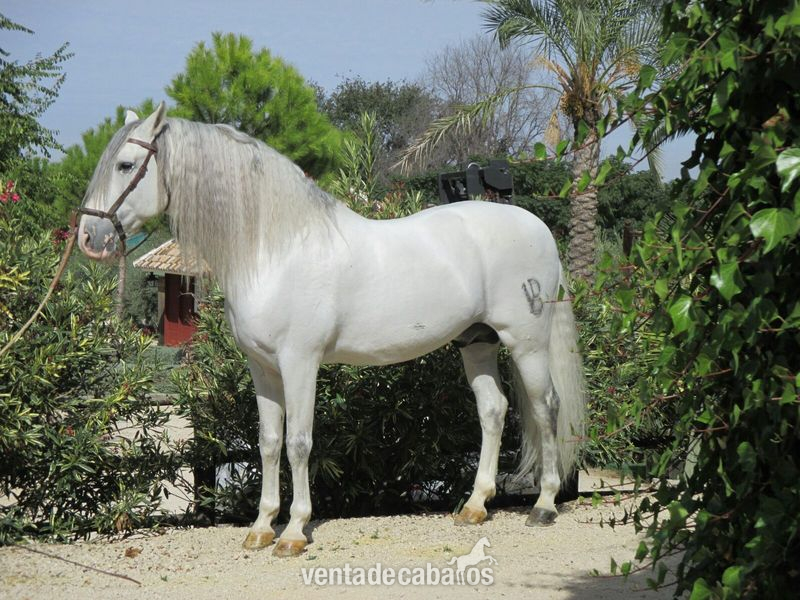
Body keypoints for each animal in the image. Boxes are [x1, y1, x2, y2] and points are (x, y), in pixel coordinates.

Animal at [77, 102, 586, 557]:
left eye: (126, 165)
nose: (87, 237)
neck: (274, 249)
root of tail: (537, 226)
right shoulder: (262, 368)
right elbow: (268, 443)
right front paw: (261, 528)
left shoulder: (300, 362)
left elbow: (299, 444)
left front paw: (294, 532)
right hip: (476, 343)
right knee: (493, 411)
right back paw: (476, 506)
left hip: (526, 343)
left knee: (546, 407)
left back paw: (543, 505)